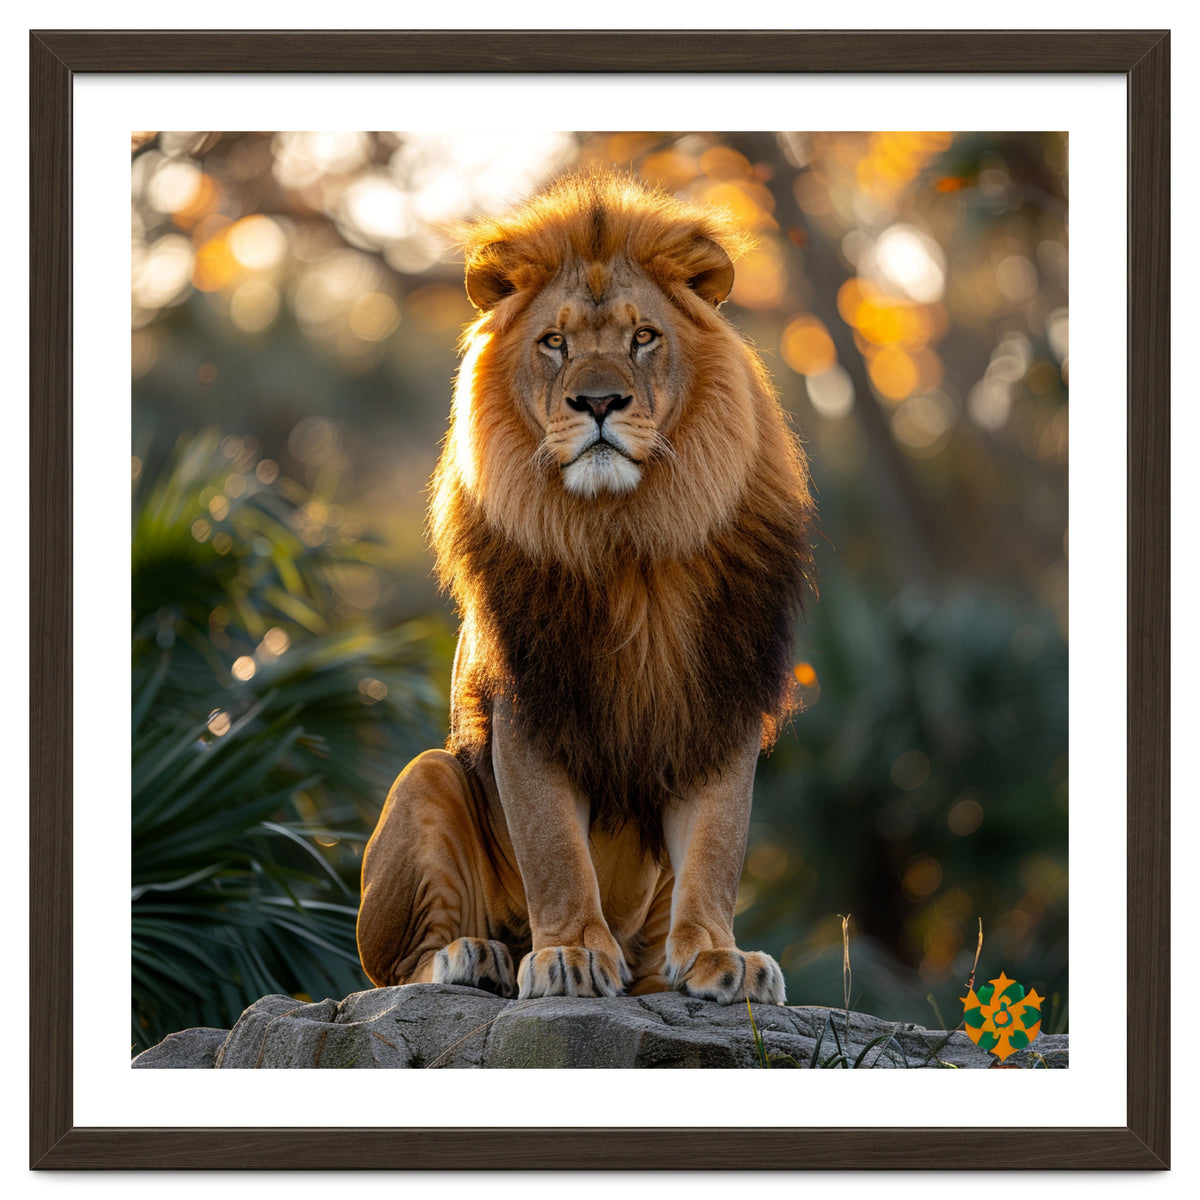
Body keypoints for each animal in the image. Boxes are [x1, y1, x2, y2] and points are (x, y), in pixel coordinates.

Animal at [357, 171, 815, 1005]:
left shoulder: (719, 702)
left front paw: (719, 957)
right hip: (427, 777)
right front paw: (568, 953)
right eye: (555, 343)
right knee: (394, 971)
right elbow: (555, 849)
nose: (598, 403)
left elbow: (716, 846)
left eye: (643, 338)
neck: (627, 537)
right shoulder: (529, 704)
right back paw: (477, 956)